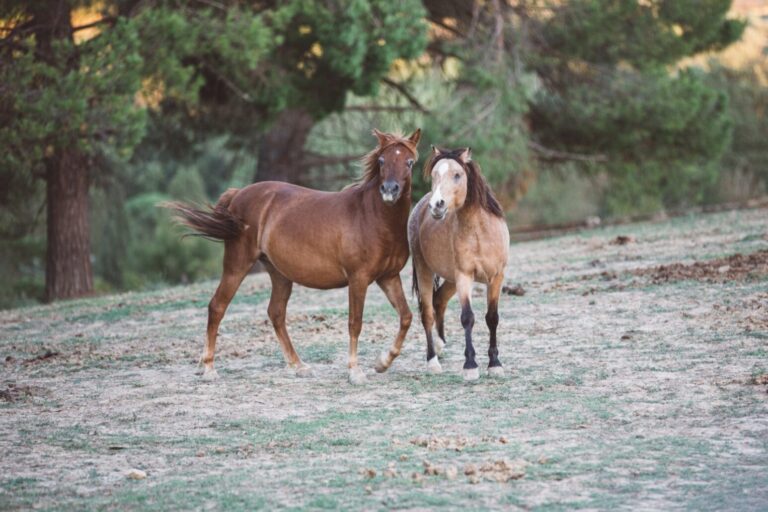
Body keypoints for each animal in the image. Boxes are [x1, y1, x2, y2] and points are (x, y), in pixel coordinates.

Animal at [167, 128, 421, 384]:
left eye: (409, 162)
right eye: (382, 161)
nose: (389, 191)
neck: (372, 217)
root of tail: (238, 194)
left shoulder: (388, 277)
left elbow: (406, 317)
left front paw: (383, 362)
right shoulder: (358, 279)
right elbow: (355, 323)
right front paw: (355, 371)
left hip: (279, 274)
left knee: (276, 313)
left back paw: (298, 365)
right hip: (237, 266)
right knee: (217, 306)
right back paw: (209, 368)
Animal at [408, 146, 510, 381]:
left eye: (457, 175)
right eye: (434, 175)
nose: (437, 206)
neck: (481, 232)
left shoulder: (496, 277)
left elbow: (492, 318)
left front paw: (495, 364)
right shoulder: (464, 276)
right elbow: (467, 318)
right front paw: (470, 365)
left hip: (451, 279)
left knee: (439, 301)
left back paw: (440, 346)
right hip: (425, 270)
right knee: (427, 313)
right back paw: (432, 361)